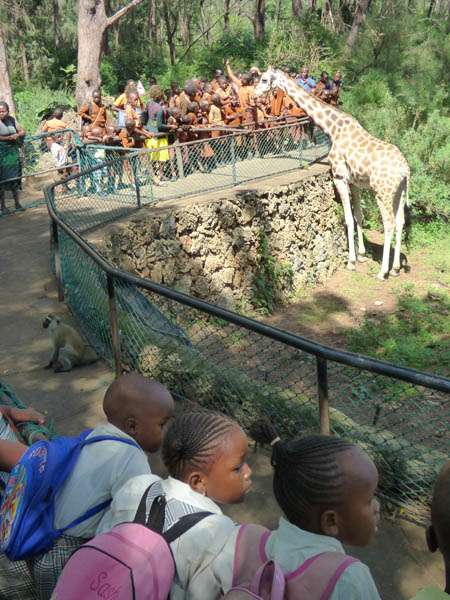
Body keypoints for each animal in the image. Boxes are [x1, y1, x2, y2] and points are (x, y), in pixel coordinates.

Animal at [255, 69, 410, 280]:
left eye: (264, 79)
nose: (254, 93)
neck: (333, 129)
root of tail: (405, 168)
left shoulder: (339, 177)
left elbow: (348, 219)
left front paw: (351, 262)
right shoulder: (354, 182)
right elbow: (358, 216)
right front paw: (362, 255)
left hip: (382, 192)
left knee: (389, 223)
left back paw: (382, 272)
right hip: (399, 192)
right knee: (401, 222)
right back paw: (395, 268)